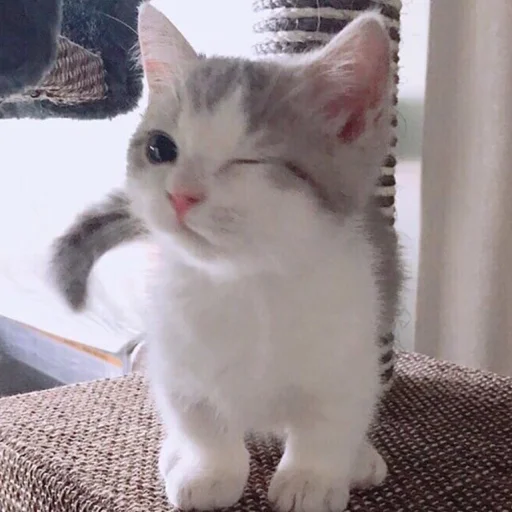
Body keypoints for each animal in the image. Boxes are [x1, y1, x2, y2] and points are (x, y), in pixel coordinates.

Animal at [52, 4, 403, 511]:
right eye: (160, 148)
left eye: (249, 162)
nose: (181, 195)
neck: (245, 284)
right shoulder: (175, 354)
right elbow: (201, 420)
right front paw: (210, 470)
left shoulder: (351, 341)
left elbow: (330, 417)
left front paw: (311, 477)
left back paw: (358, 459)